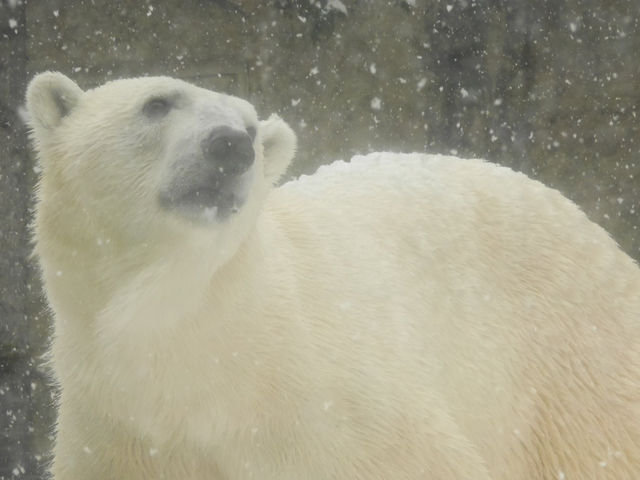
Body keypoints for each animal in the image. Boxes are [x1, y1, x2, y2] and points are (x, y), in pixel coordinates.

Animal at [27, 72, 636, 480]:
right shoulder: (117, 433)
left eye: (251, 125)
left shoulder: (339, 409)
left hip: (572, 376)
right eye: (156, 103)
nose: (231, 145)